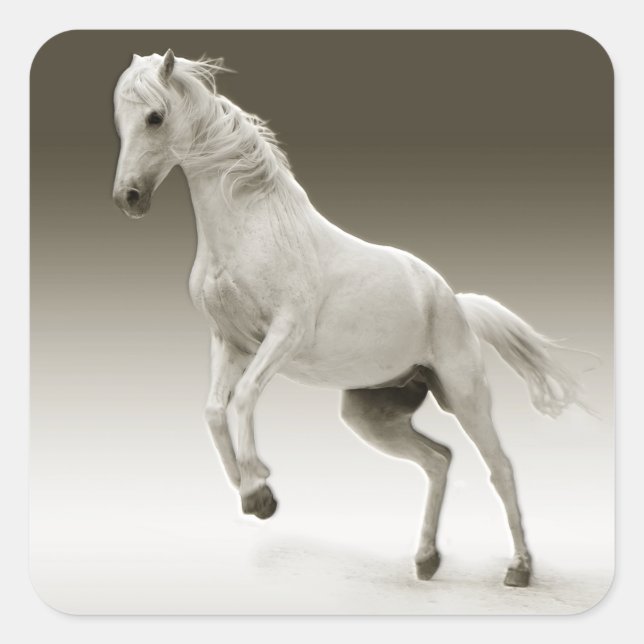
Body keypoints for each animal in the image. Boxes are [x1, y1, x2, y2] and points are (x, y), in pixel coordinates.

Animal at [112, 50, 586, 588]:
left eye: (155, 117)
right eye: (120, 121)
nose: (128, 198)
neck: (253, 228)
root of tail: (454, 301)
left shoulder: (284, 334)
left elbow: (245, 397)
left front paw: (259, 489)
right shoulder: (229, 341)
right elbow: (214, 410)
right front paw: (252, 492)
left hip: (465, 396)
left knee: (500, 467)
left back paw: (519, 569)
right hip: (371, 414)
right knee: (438, 460)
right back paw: (426, 560)